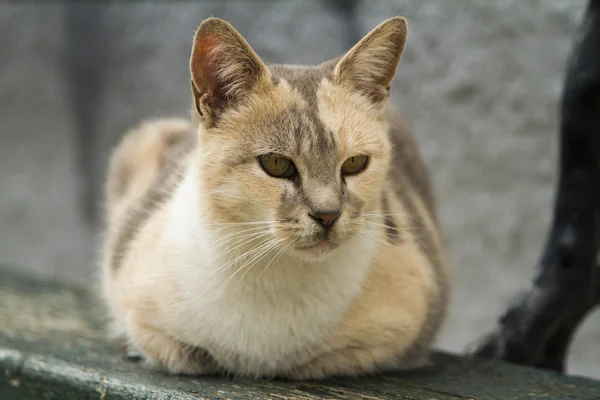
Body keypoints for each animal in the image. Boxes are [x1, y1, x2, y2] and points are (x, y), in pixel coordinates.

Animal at [101, 14, 450, 378]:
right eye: (276, 164)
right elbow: (181, 351)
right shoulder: (136, 298)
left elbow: (318, 361)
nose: (328, 214)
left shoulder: (406, 319)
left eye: (355, 163)